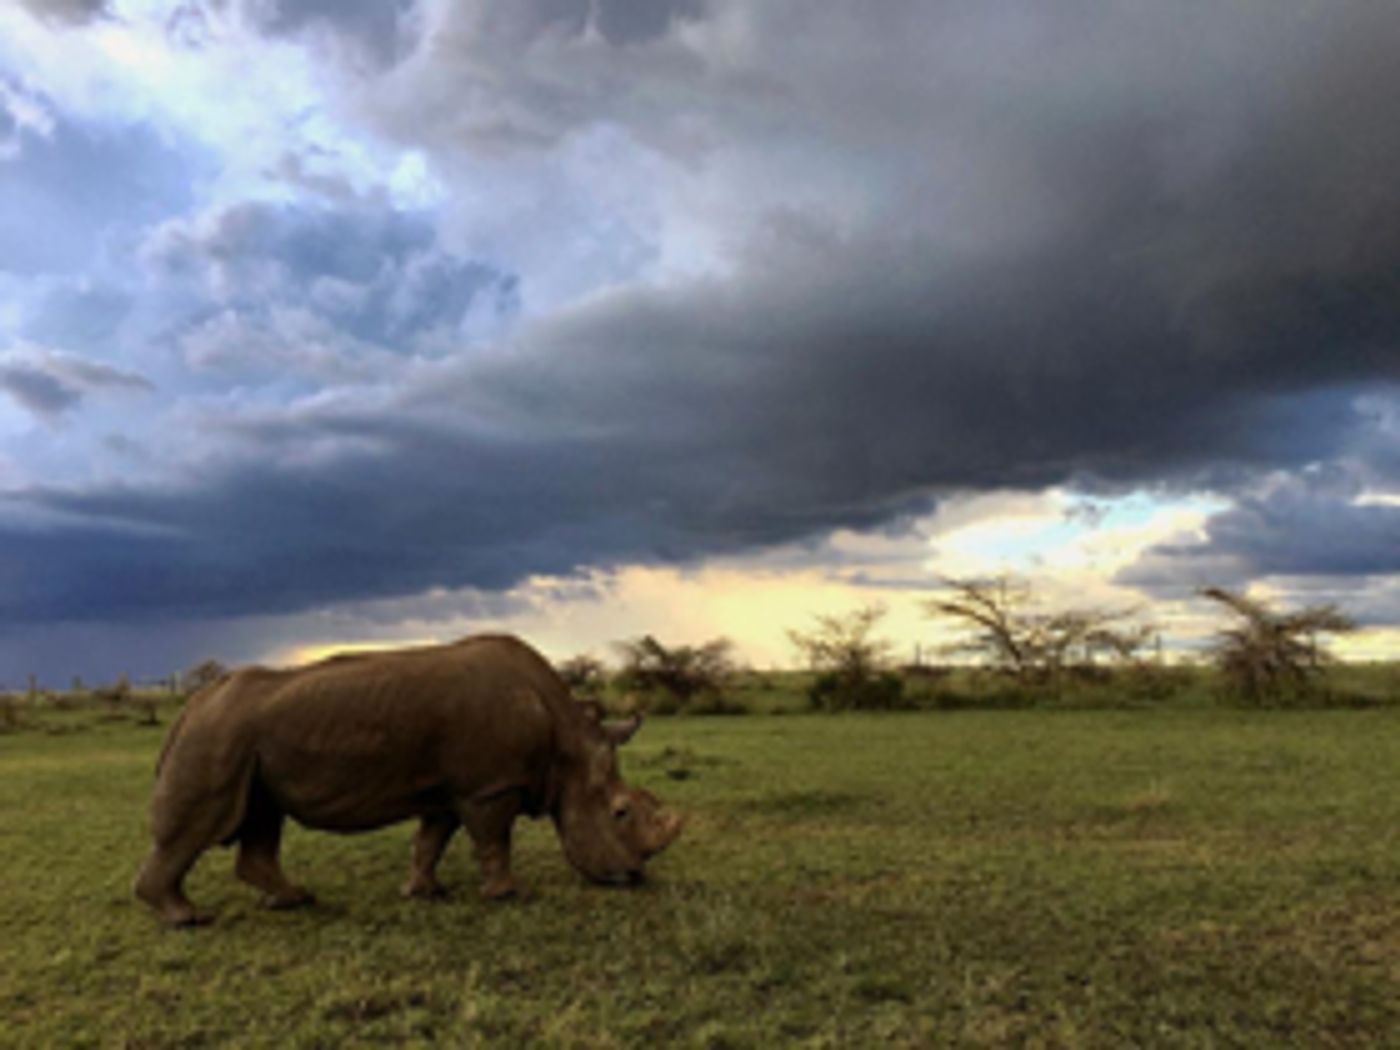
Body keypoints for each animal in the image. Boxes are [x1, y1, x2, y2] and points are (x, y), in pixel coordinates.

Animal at [134, 634, 682, 927]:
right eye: (620, 812)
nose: (633, 877)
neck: (566, 746)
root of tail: (192, 704)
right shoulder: (490, 786)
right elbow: (494, 839)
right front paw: (508, 894)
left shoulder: (451, 790)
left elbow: (431, 840)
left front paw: (423, 892)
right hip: (218, 734)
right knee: (202, 825)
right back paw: (188, 920)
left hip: (245, 743)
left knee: (264, 816)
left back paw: (294, 901)